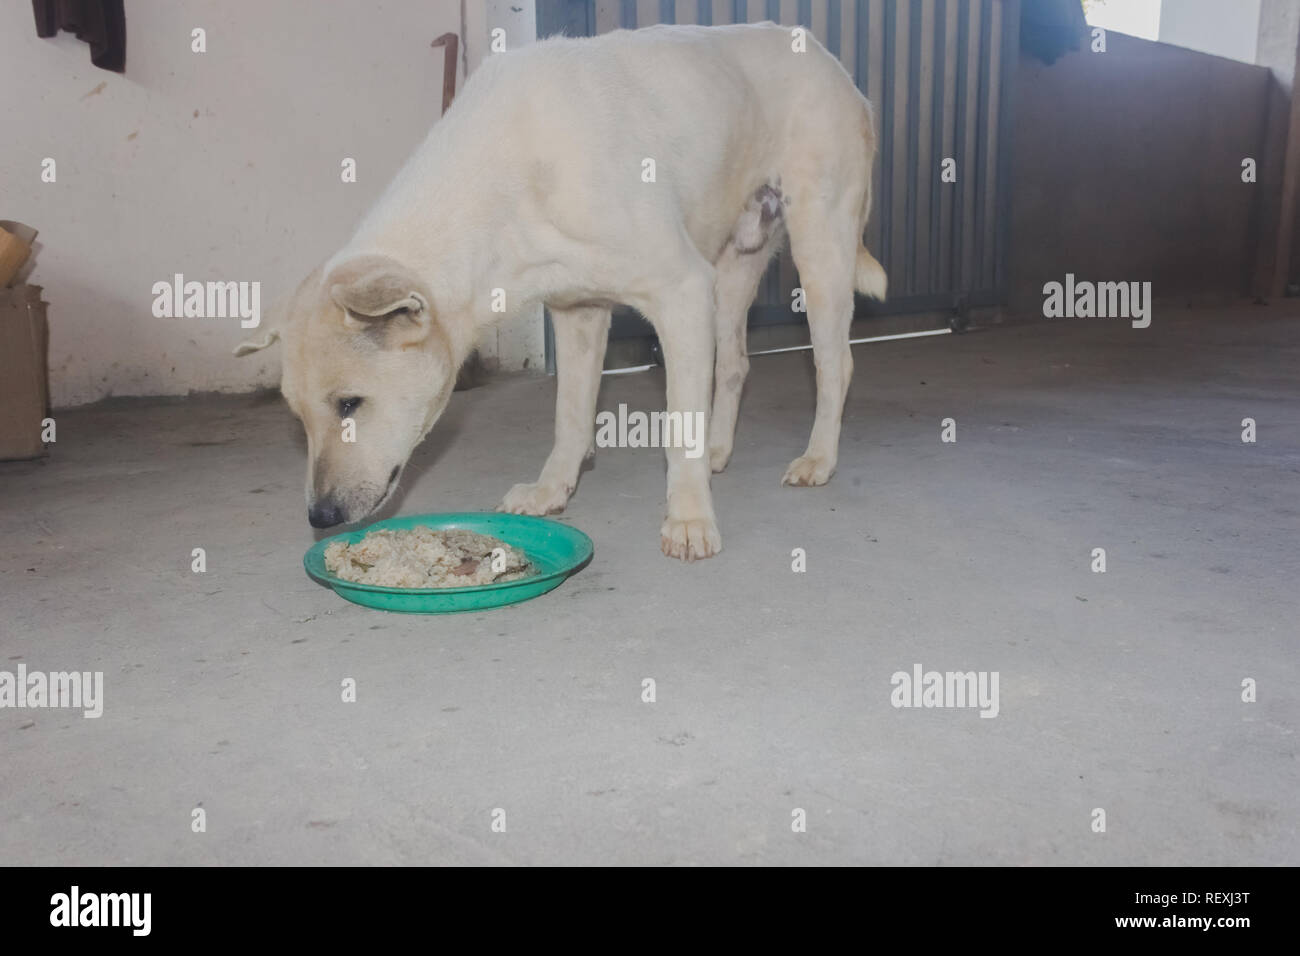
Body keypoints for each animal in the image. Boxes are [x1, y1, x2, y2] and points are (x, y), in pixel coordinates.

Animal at [236, 24, 883, 561]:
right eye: (297, 415)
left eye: (350, 404)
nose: (319, 517)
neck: (509, 175)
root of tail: (828, 59)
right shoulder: (578, 312)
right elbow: (569, 416)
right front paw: (553, 490)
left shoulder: (681, 290)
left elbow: (678, 427)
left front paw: (689, 519)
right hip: (734, 269)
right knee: (736, 365)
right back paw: (720, 449)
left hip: (819, 252)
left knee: (837, 364)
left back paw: (817, 459)